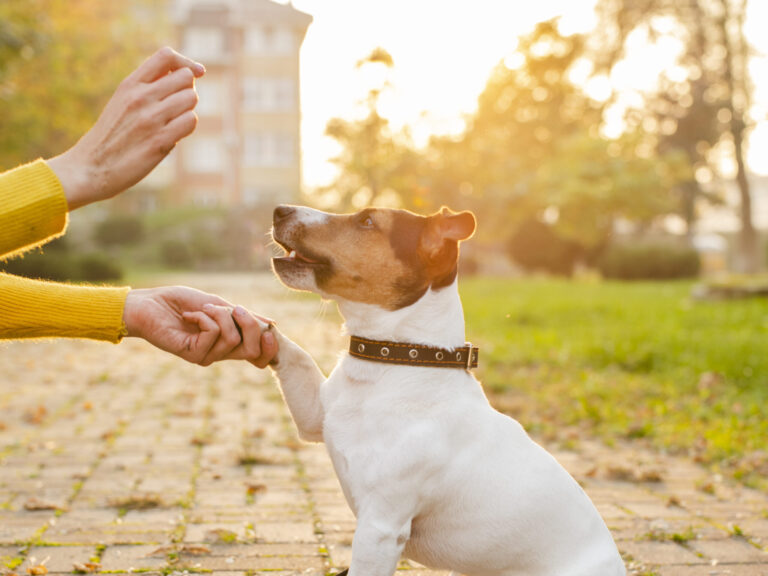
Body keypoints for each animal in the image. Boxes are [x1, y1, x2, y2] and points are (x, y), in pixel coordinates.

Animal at [264, 205, 624, 576]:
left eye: (367, 221)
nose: (280, 210)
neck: (396, 362)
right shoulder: (314, 416)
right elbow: (296, 355)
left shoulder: (380, 527)